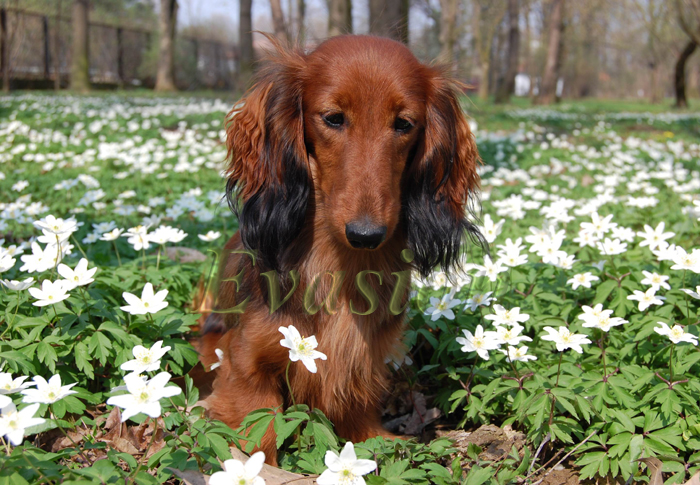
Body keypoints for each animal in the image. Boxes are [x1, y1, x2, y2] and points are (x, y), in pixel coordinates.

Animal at [198, 34, 482, 465]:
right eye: (333, 118)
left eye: (404, 123)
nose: (366, 234)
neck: (341, 266)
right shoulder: (243, 359)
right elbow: (257, 426)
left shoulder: (362, 363)